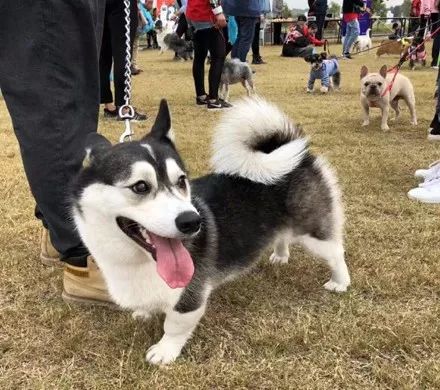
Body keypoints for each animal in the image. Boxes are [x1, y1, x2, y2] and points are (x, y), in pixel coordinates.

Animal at [71, 97, 350, 366]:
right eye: (140, 186)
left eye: (181, 181)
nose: (192, 222)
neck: (136, 260)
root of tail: (295, 154)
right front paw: (144, 312)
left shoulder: (190, 294)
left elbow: (175, 325)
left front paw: (165, 351)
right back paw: (280, 256)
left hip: (314, 231)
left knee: (335, 252)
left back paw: (340, 282)